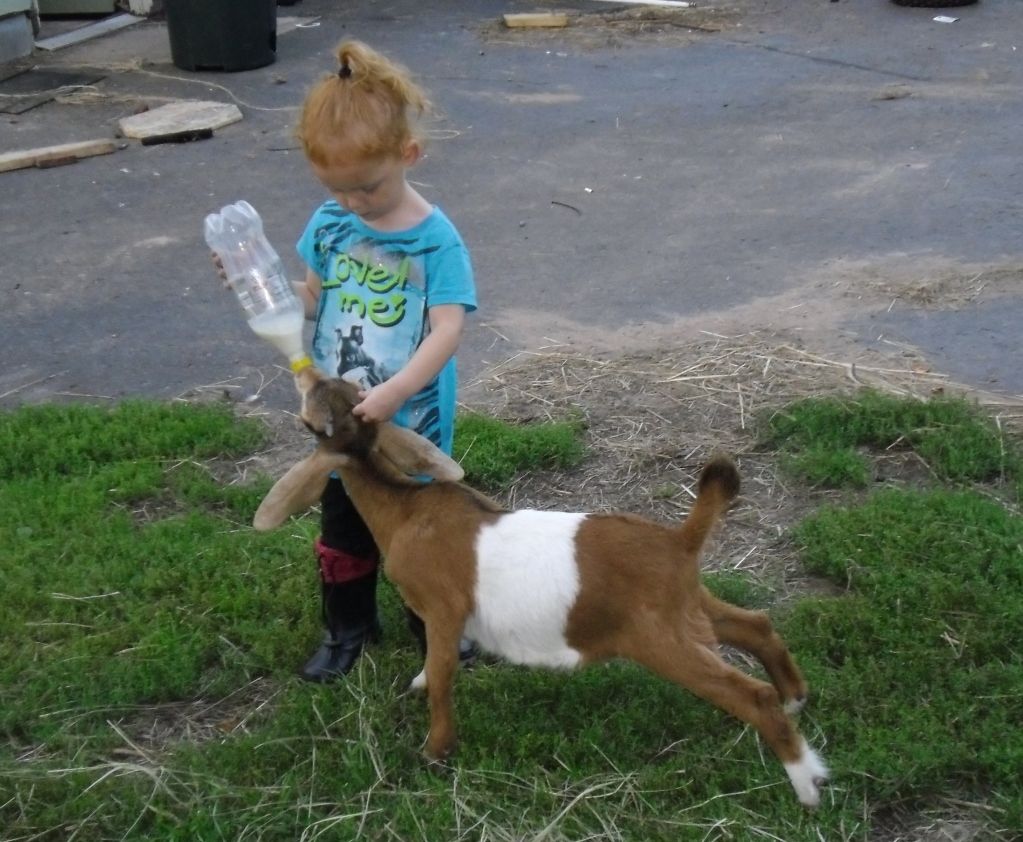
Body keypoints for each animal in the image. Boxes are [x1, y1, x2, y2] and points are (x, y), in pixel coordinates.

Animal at [254, 367, 829, 807]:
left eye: (311, 416)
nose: (305, 373)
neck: (405, 510)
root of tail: (679, 539)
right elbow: (434, 668)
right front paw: (419, 691)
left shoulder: (444, 609)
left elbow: (443, 676)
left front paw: (435, 751)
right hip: (689, 605)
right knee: (755, 625)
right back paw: (797, 699)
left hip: (659, 637)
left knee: (750, 693)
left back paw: (808, 783)